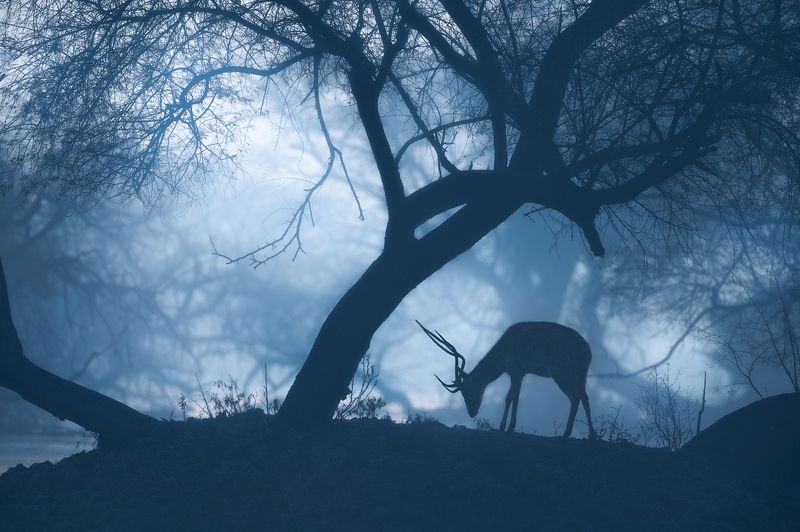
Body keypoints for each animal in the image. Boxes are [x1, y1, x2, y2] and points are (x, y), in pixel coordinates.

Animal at [417, 320, 596, 439]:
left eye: (466, 391)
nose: (472, 412)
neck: (502, 358)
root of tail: (587, 350)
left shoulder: (516, 368)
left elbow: (514, 397)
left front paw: (510, 427)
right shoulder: (518, 372)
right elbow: (508, 398)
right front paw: (502, 427)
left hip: (561, 371)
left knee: (575, 396)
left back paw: (569, 433)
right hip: (580, 373)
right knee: (584, 396)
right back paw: (589, 435)